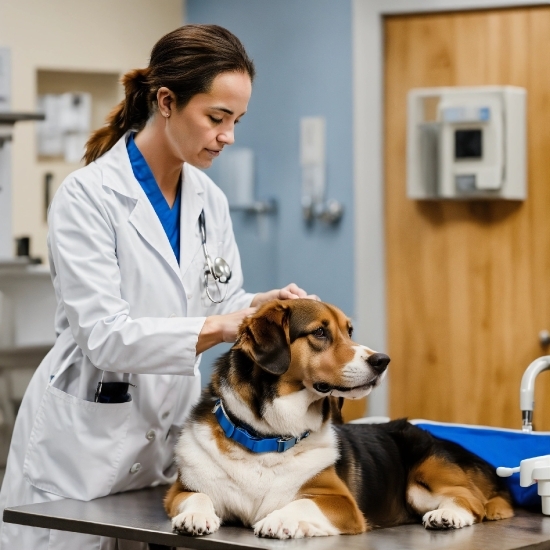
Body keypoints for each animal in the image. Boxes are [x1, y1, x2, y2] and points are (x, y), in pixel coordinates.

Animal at [166, 300, 516, 540]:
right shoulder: (179, 491)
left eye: (349, 331)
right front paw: (195, 517)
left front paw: (279, 519)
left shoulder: (342, 503)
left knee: (473, 502)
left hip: (423, 480)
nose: (382, 360)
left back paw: (448, 516)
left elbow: (300, 505)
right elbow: (196, 495)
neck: (267, 439)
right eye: (320, 332)